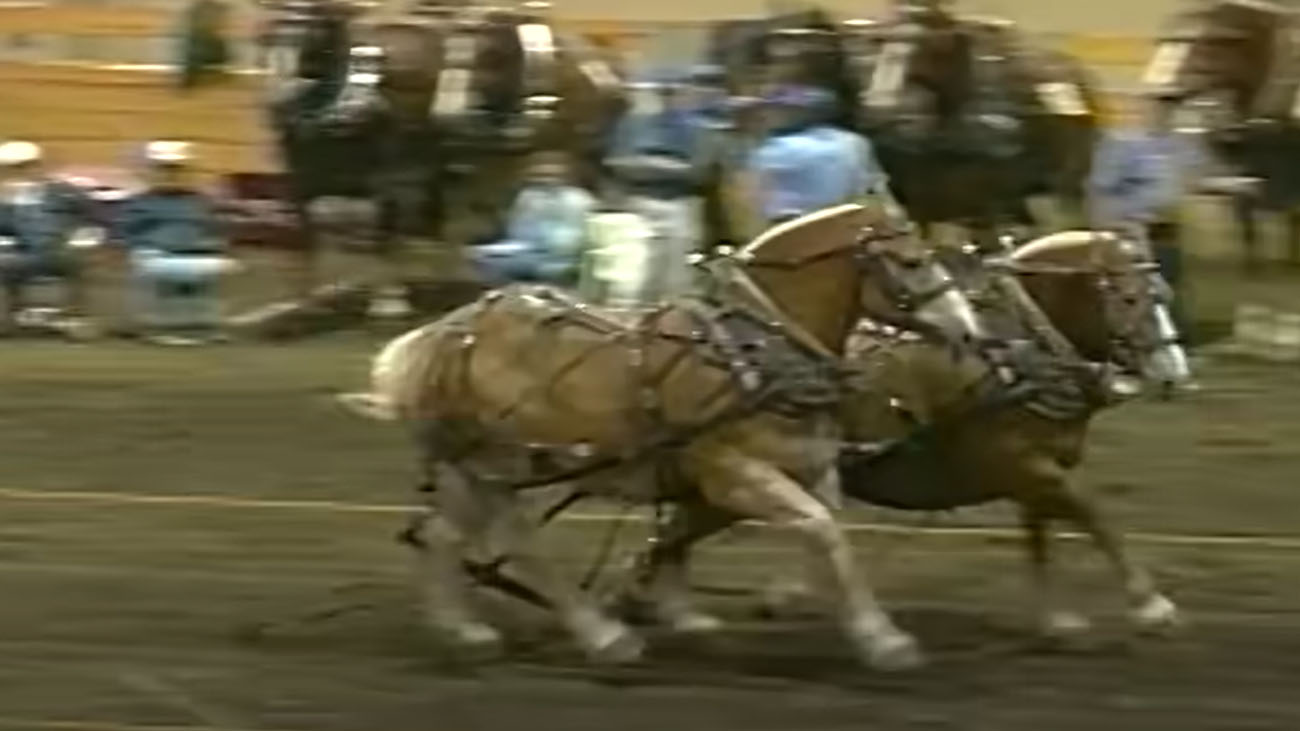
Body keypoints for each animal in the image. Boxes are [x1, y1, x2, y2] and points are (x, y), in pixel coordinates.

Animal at [343, 201, 982, 671]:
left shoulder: (795, 467)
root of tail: (439, 334)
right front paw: (883, 640)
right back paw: (602, 636)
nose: (970, 334)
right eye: (911, 262)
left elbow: (796, 534)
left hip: (484, 472)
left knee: (444, 535)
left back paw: (467, 630)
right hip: (491, 466)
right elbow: (820, 532)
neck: (754, 353)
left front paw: (694, 609)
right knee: (516, 542)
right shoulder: (733, 472)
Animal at [634, 230, 1190, 645]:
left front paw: (1055, 618)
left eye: (1165, 297)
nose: (1173, 375)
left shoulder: (1036, 469)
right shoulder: (1019, 462)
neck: (1018, 352)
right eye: (1130, 297)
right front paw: (1151, 604)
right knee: (680, 530)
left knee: (679, 530)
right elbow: (1093, 513)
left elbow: (1041, 535)